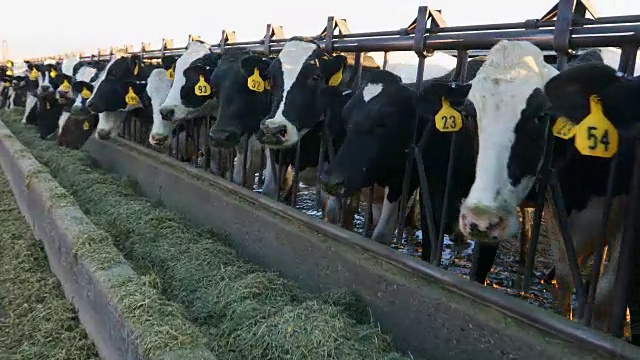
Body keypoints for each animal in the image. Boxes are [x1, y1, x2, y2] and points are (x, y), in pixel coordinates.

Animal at [450, 40, 640, 330]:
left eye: (540, 116)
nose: (482, 220)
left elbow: (606, 295)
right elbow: (565, 278)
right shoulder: (556, 207)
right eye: (470, 115)